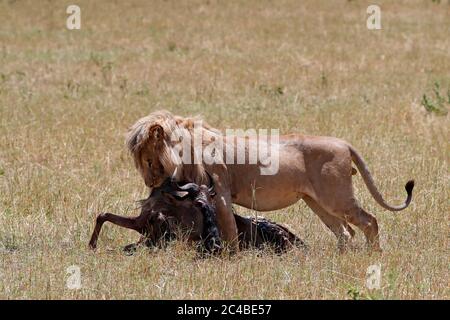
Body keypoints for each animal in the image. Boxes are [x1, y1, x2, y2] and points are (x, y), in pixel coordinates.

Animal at [125, 110, 414, 252]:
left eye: (148, 161)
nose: (150, 184)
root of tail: (344, 143)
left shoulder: (220, 192)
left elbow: (229, 229)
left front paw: (231, 257)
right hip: (317, 202)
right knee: (345, 231)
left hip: (336, 197)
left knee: (369, 221)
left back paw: (374, 255)